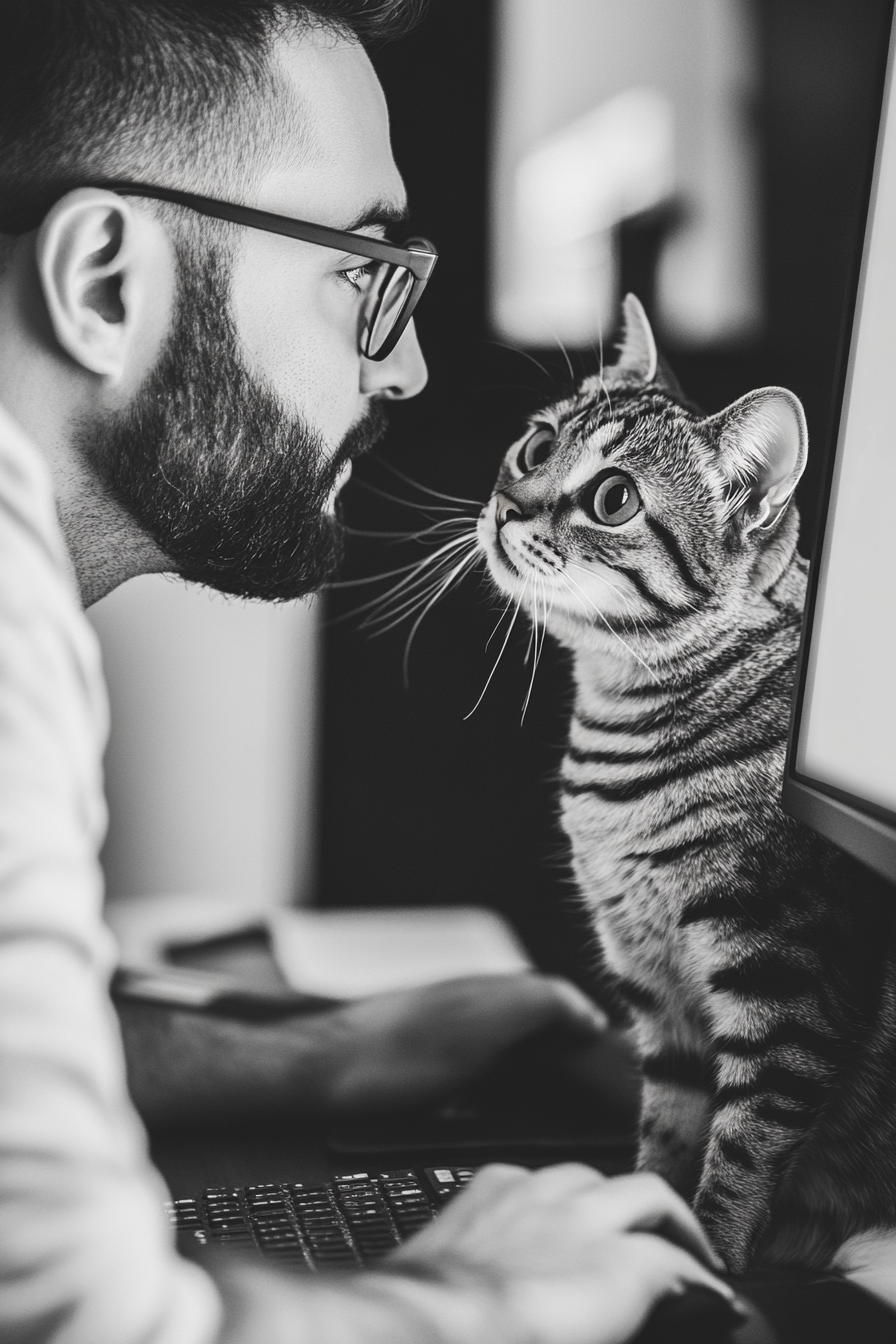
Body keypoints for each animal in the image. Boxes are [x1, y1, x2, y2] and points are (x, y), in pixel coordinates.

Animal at [480, 294, 896, 1268]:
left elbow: (741, 1152)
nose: (507, 507)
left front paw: (707, 1257)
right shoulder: (655, 993)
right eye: (536, 446)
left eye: (614, 498)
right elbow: (667, 1131)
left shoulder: (784, 991)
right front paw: (645, 1215)